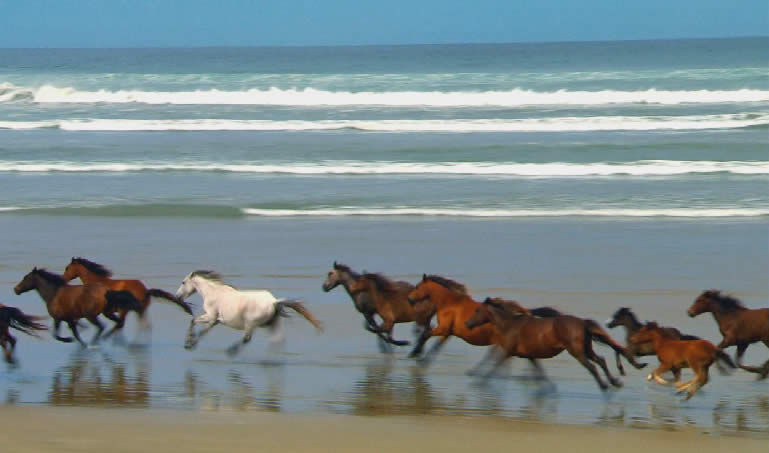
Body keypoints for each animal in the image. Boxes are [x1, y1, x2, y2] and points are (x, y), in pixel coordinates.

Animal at [13, 266, 142, 344]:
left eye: (26, 278)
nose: (16, 289)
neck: (53, 293)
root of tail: (106, 291)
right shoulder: (70, 319)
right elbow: (76, 334)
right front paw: (80, 344)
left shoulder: (58, 318)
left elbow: (56, 335)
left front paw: (69, 340)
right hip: (107, 312)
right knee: (118, 323)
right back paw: (104, 339)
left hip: (91, 315)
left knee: (101, 327)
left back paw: (95, 343)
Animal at [63, 258, 195, 336]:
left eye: (67, 268)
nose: (63, 278)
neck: (97, 282)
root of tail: (146, 291)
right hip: (139, 310)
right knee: (144, 326)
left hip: (126, 310)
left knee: (124, 325)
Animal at [176, 270, 322, 354]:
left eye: (183, 282)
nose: (177, 297)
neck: (213, 292)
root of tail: (274, 302)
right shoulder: (215, 321)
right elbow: (203, 330)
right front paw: (191, 343)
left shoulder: (211, 316)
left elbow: (194, 321)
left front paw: (189, 343)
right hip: (271, 324)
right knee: (277, 340)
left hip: (251, 323)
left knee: (247, 339)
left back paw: (231, 351)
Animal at [464, 296, 644, 388]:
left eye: (477, 310)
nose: (468, 324)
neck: (510, 324)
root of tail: (583, 323)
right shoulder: (529, 355)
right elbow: (539, 372)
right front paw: (548, 389)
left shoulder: (507, 352)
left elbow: (494, 366)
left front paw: (480, 382)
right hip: (586, 349)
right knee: (601, 361)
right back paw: (615, 382)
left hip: (577, 352)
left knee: (592, 367)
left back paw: (605, 386)